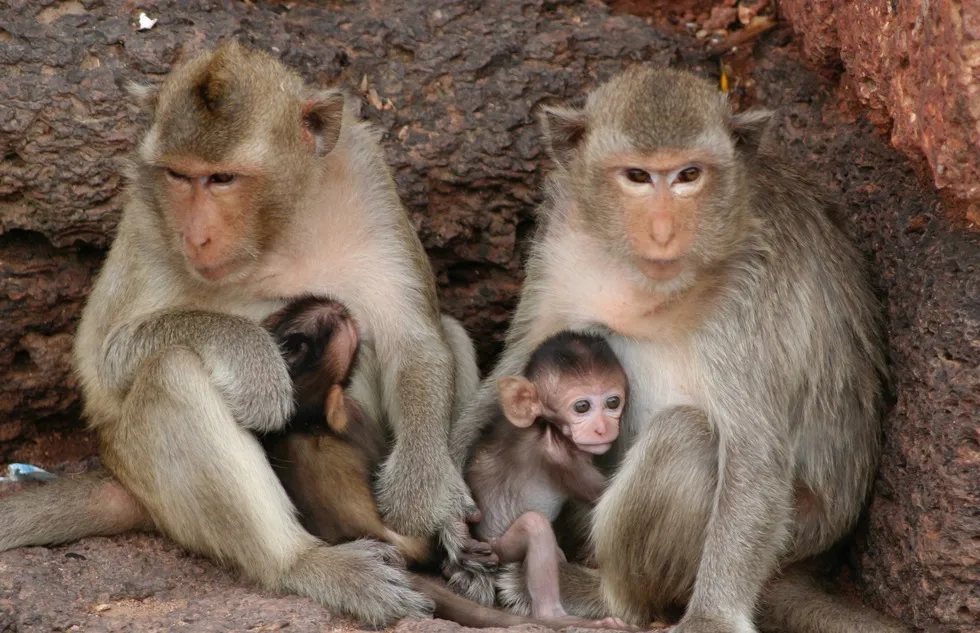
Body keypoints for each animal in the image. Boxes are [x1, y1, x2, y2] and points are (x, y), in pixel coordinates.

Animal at [0, 41, 487, 627]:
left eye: (222, 179)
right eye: (177, 175)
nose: (196, 236)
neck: (274, 232)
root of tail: (123, 477)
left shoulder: (365, 175)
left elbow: (412, 338)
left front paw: (430, 500)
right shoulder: (146, 214)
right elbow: (103, 363)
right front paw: (252, 357)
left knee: (451, 332)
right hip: (143, 465)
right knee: (173, 370)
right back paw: (308, 564)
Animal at [464, 331, 628, 620]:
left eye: (612, 402)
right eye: (582, 407)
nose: (602, 428)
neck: (546, 426)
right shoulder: (560, 457)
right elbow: (602, 496)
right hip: (501, 546)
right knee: (535, 525)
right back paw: (553, 616)